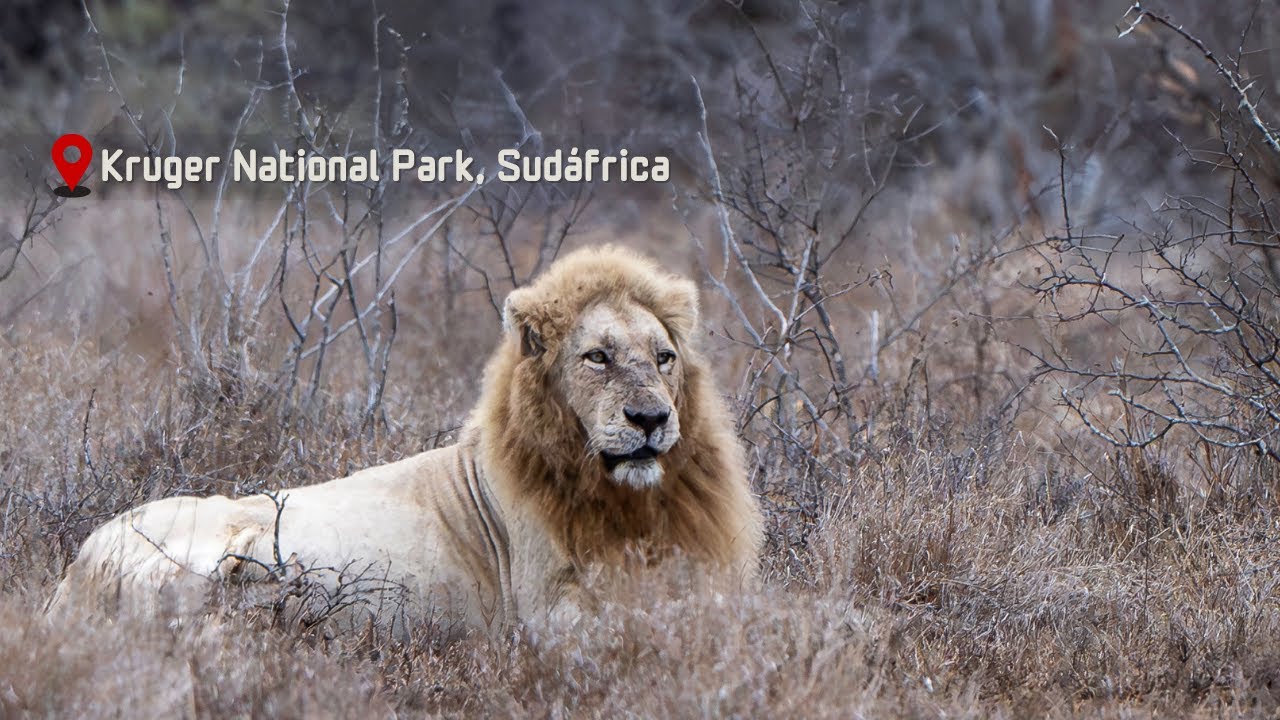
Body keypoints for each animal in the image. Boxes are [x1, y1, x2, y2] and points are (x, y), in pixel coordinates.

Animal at [48, 245, 763, 639]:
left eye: (664, 357)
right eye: (597, 357)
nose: (651, 418)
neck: (631, 502)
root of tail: (75, 571)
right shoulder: (545, 614)